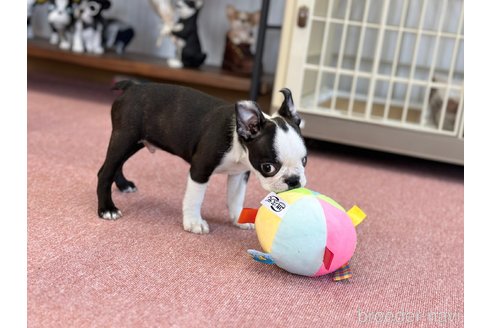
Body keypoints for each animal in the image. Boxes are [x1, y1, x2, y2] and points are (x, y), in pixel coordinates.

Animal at [97, 81, 308, 233]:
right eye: (268, 167)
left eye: (305, 160)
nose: (294, 180)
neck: (238, 143)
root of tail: (132, 86)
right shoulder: (200, 169)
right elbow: (194, 198)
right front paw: (193, 223)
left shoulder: (239, 174)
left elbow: (236, 197)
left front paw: (239, 218)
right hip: (124, 137)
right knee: (105, 172)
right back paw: (107, 209)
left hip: (133, 142)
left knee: (116, 166)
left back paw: (123, 185)